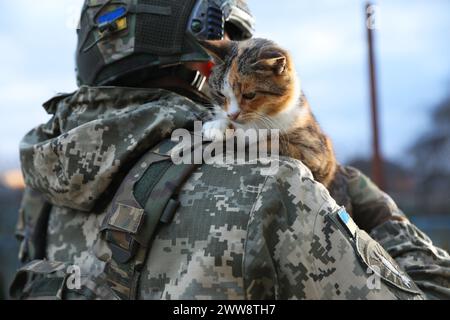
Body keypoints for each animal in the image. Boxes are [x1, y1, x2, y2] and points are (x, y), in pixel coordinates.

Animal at [202, 37, 354, 212]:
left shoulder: (317, 153)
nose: (232, 114)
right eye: (221, 94)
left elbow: (271, 142)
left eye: (250, 95)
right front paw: (217, 125)